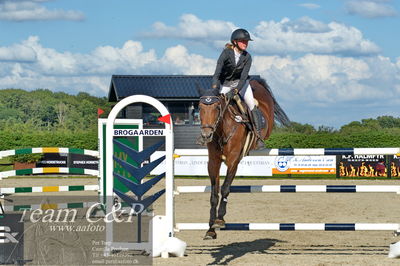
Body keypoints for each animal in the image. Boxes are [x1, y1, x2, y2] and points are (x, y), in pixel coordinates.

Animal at [198, 76, 290, 239]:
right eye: (199, 108)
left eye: (217, 108)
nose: (206, 135)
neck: (222, 130)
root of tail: (255, 82)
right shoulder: (213, 163)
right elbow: (214, 193)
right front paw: (210, 230)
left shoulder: (233, 161)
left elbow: (225, 188)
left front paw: (219, 220)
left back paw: (259, 141)